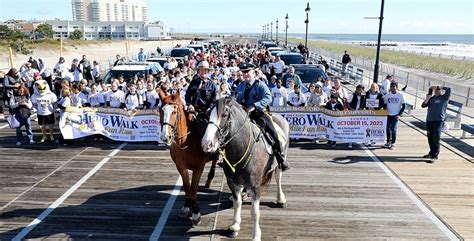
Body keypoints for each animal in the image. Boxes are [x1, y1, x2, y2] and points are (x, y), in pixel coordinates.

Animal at [159, 91, 218, 225]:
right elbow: (187, 187)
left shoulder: (199, 167)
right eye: (161, 110)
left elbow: (193, 188)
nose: (165, 137)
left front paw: (196, 213)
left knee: (215, 160)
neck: (186, 141)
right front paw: (187, 207)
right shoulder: (180, 166)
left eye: (174, 112)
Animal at [201, 97, 286, 240]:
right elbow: (237, 203)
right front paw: (235, 226)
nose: (206, 143)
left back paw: (281, 199)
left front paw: (256, 235)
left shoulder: (255, 186)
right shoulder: (232, 182)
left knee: (278, 178)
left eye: (224, 114)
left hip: (279, 164)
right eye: (208, 114)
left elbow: (255, 212)